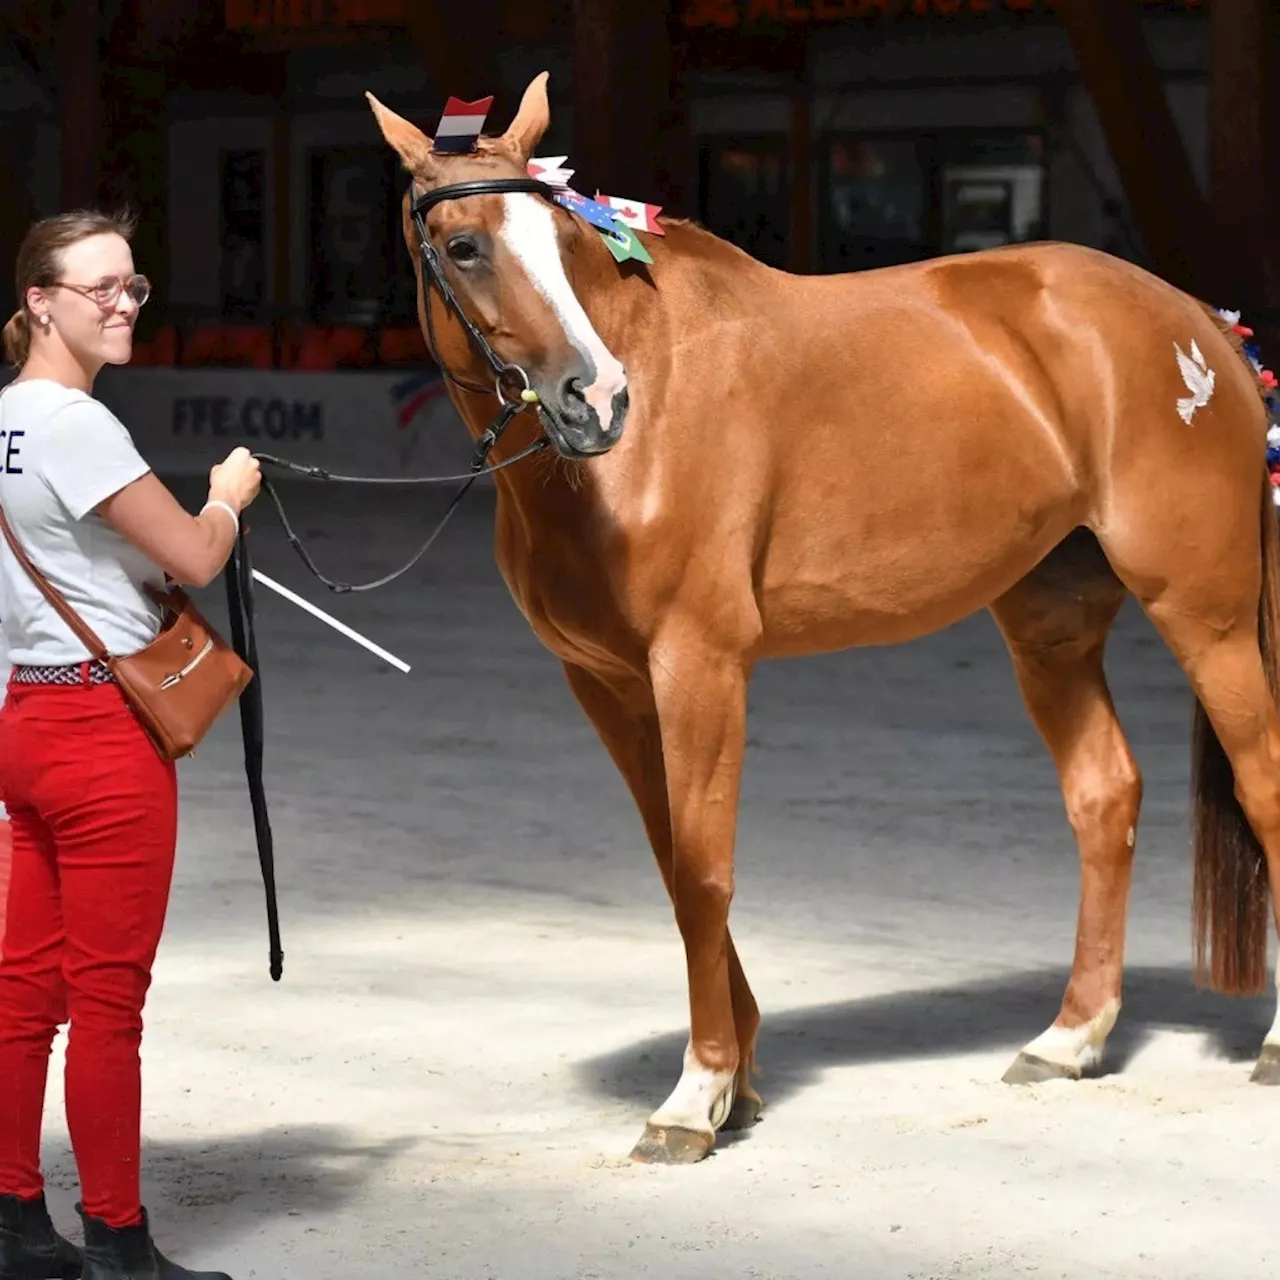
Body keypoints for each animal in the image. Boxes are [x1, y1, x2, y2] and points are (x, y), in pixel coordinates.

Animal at [363, 74, 1280, 1167]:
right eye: (464, 246)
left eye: (567, 240)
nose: (595, 398)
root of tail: (1200, 321)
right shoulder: (606, 680)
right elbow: (672, 864)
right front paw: (740, 1080)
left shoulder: (700, 663)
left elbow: (704, 870)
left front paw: (696, 1094)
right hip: (1048, 625)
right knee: (1104, 794)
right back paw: (1067, 1037)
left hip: (1204, 612)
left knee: (1264, 784)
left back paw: (1269, 1043)